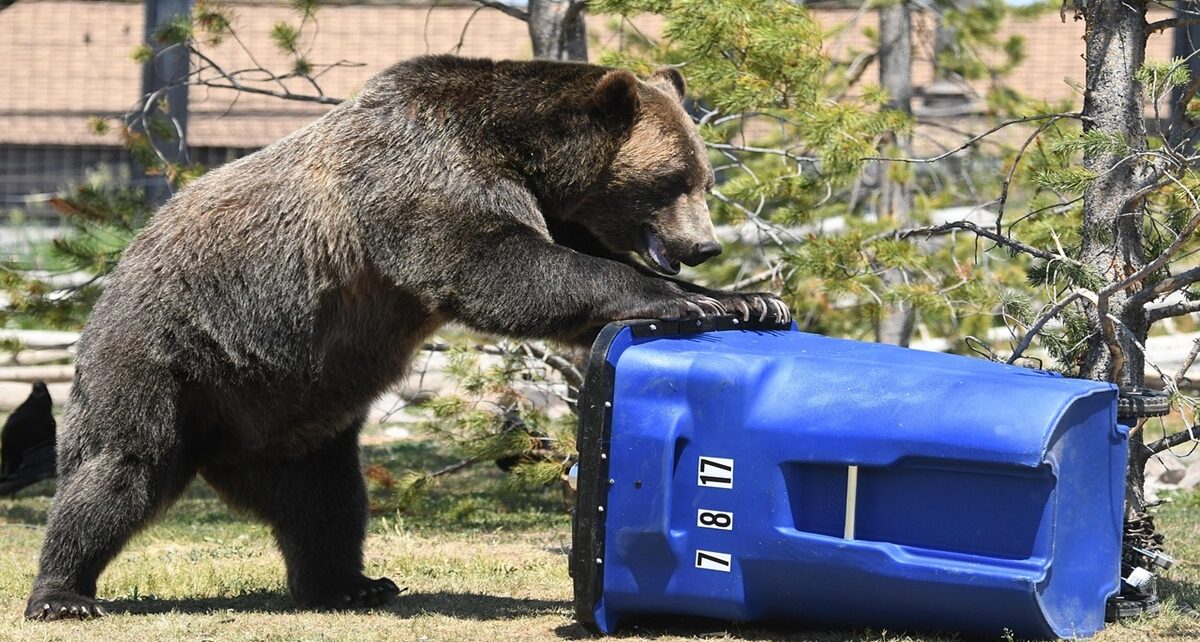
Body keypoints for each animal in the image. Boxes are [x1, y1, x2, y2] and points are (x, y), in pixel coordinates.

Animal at [24, 55, 790, 620]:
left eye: (706, 177)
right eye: (675, 179)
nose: (705, 247)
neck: (522, 153)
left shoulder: (537, 203)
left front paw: (755, 299)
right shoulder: (422, 177)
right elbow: (505, 269)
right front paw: (697, 300)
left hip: (292, 414)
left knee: (327, 501)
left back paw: (350, 584)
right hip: (165, 357)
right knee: (119, 467)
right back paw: (64, 593)